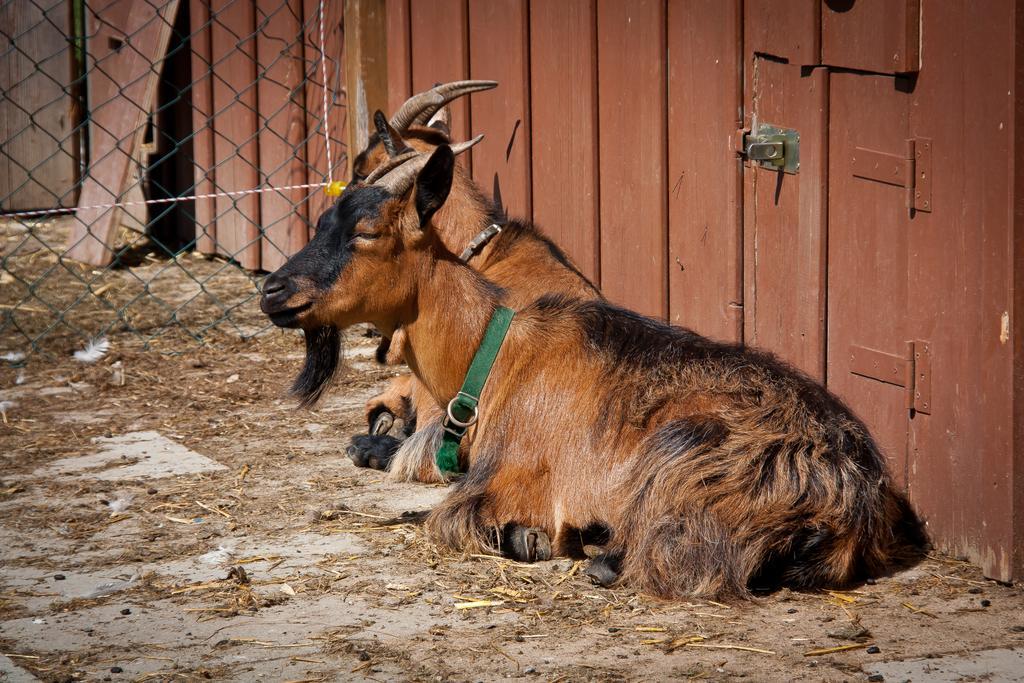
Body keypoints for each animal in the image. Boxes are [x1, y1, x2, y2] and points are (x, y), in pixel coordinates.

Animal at [262, 144, 929, 598]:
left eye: (367, 232)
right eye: (321, 224)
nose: (272, 290)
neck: (493, 358)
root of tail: (856, 496)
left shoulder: (505, 481)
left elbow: (447, 521)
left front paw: (534, 536)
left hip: (685, 455)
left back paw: (597, 550)